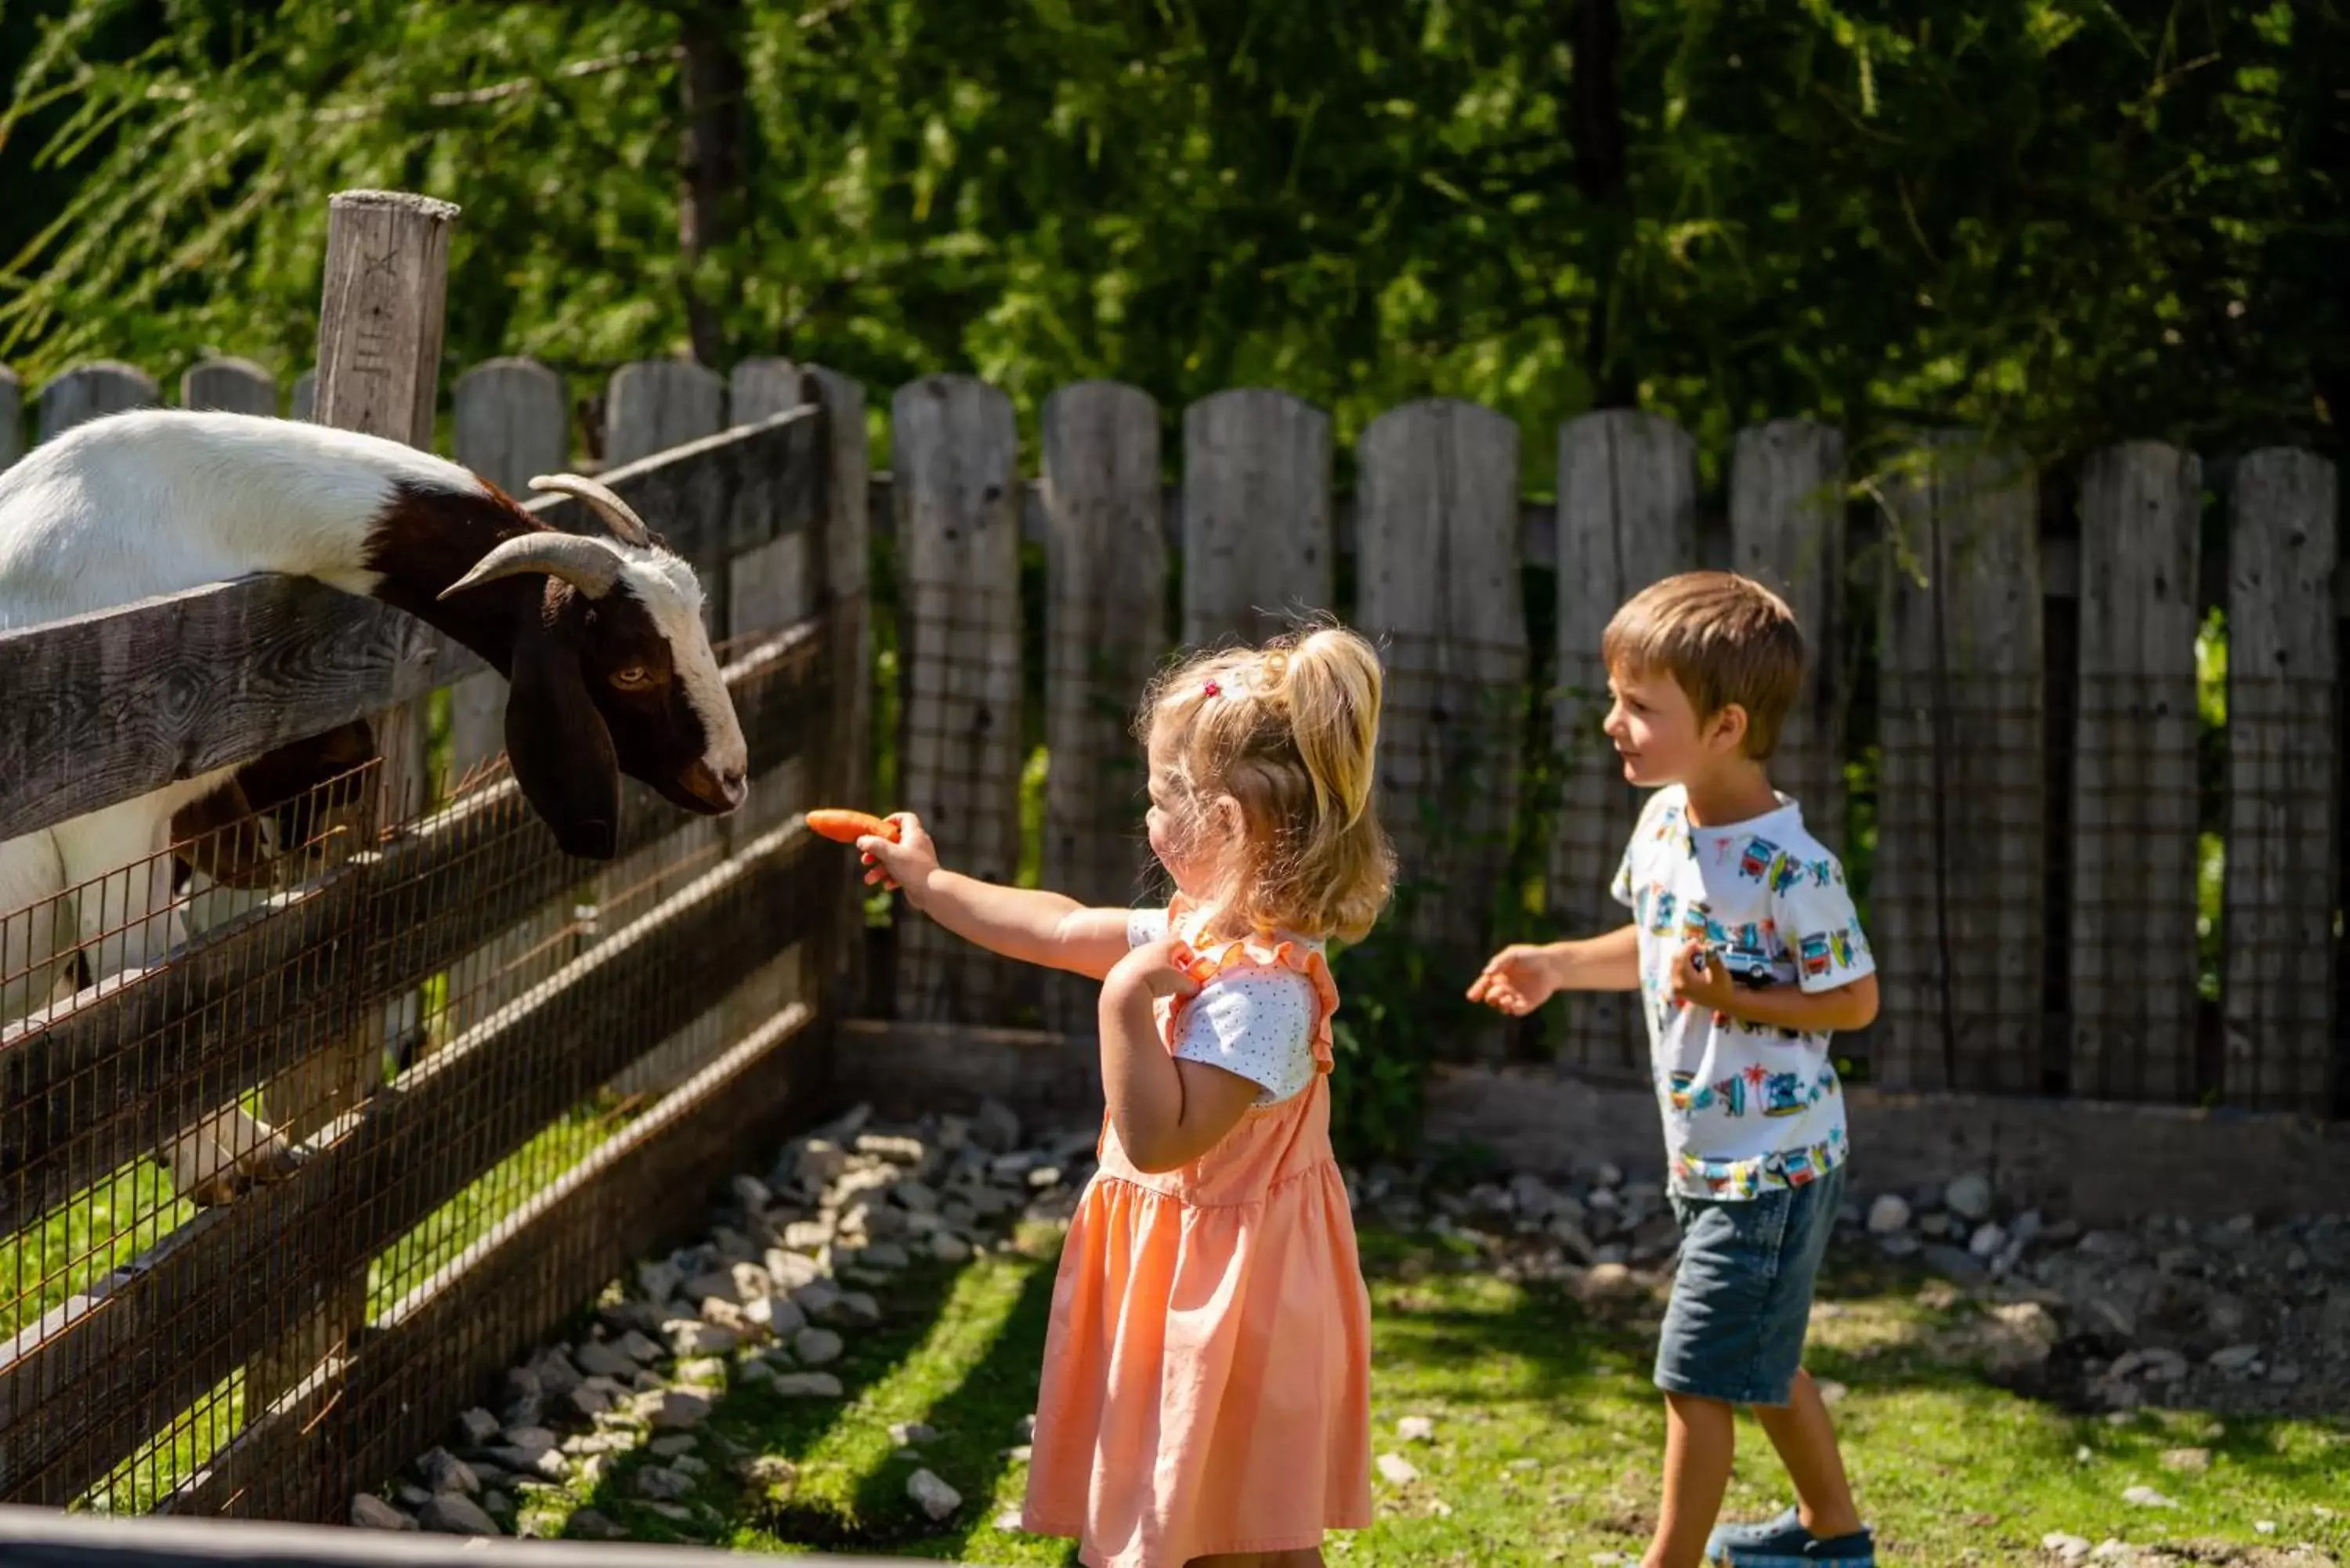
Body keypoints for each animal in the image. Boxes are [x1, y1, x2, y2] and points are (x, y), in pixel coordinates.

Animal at [0, 411, 747, 1212]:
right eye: (632, 670)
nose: (730, 777)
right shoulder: (110, 827)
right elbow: (138, 996)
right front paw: (219, 1163)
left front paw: (245, 1150)